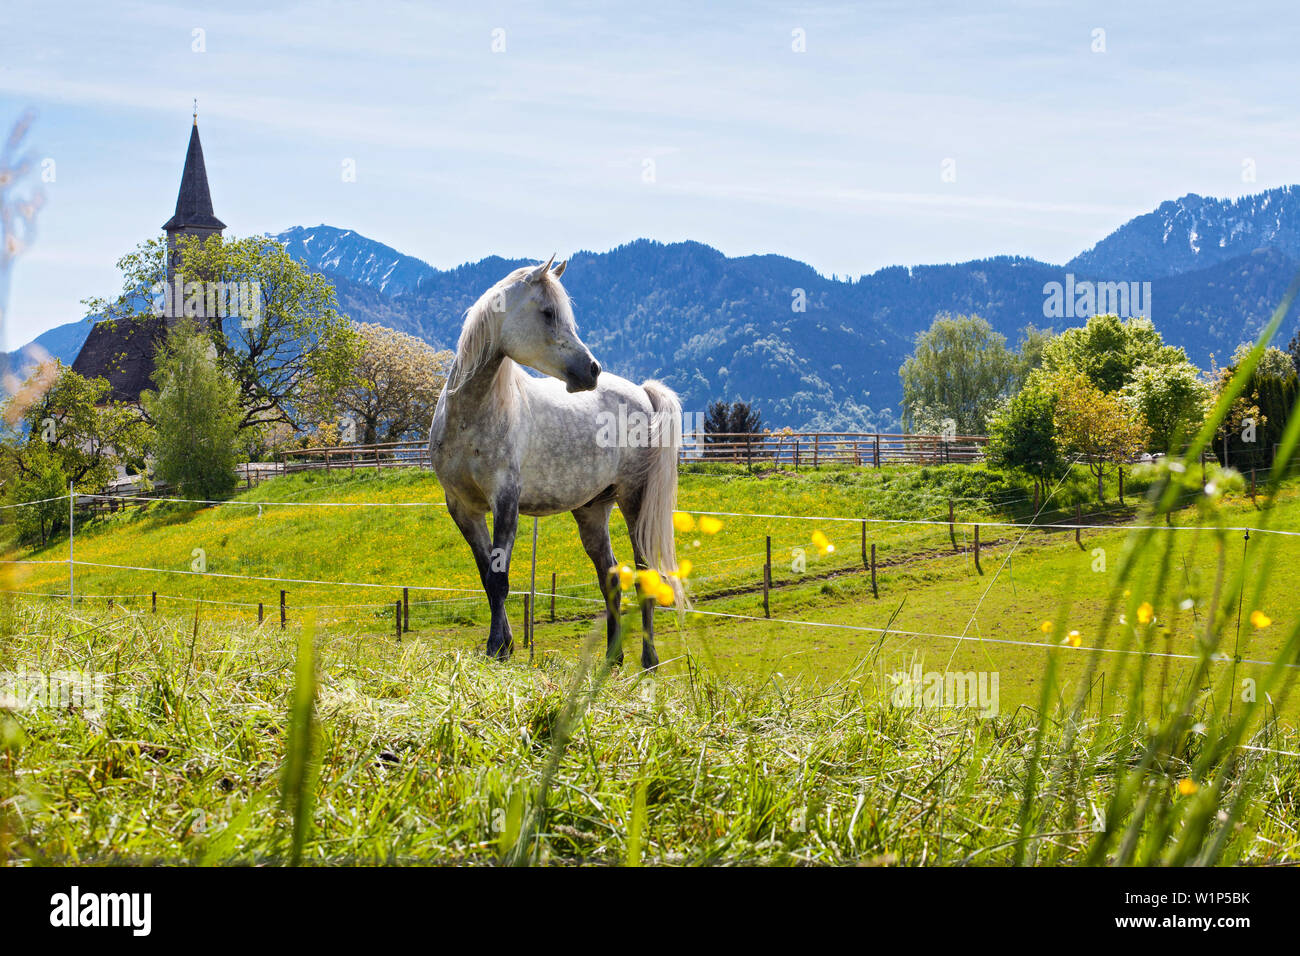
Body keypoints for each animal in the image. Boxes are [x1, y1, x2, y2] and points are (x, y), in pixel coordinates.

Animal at [431, 257, 686, 671]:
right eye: (548, 313)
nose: (592, 369)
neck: (470, 417)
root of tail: (642, 394)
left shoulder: (506, 502)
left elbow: (500, 579)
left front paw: (497, 648)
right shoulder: (463, 508)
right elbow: (487, 577)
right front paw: (504, 646)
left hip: (634, 502)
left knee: (644, 572)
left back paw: (649, 660)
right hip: (592, 510)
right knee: (609, 576)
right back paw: (612, 658)